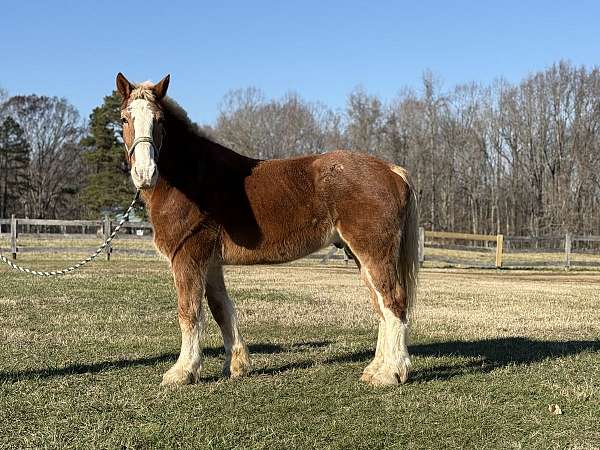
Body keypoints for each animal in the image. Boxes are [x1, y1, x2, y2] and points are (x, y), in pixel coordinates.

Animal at [116, 72, 418, 384]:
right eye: (124, 119)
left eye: (160, 120)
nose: (144, 173)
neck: (190, 178)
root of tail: (392, 170)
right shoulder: (210, 263)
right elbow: (220, 309)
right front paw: (235, 366)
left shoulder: (188, 257)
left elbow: (189, 312)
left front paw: (182, 372)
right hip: (359, 255)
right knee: (380, 305)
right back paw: (376, 369)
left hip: (374, 252)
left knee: (394, 302)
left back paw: (391, 373)